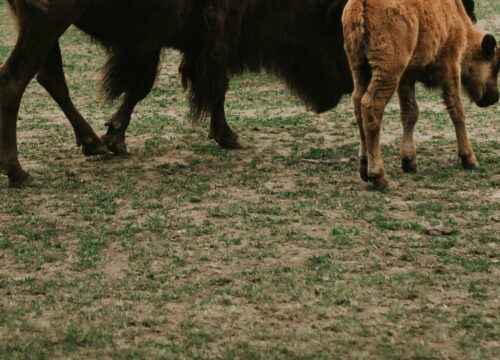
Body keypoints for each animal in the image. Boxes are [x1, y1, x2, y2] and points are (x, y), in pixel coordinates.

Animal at [0, 0, 352, 186]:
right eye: (332, 28)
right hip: (47, 23)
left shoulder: (155, 41)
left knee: (49, 77)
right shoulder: (218, 34)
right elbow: (216, 85)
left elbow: (140, 88)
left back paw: (92, 143)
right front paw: (229, 136)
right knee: (14, 80)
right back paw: (19, 172)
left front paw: (115, 138)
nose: (349, 86)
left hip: (41, 27)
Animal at [344, 0, 500, 188]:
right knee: (371, 107)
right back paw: (379, 177)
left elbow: (410, 113)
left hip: (359, 68)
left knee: (358, 104)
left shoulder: (407, 76)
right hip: (388, 71)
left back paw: (364, 168)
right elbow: (457, 111)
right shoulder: (451, 65)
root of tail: (361, 4)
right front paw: (469, 159)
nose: (494, 97)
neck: (456, 16)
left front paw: (409, 161)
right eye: (495, 67)